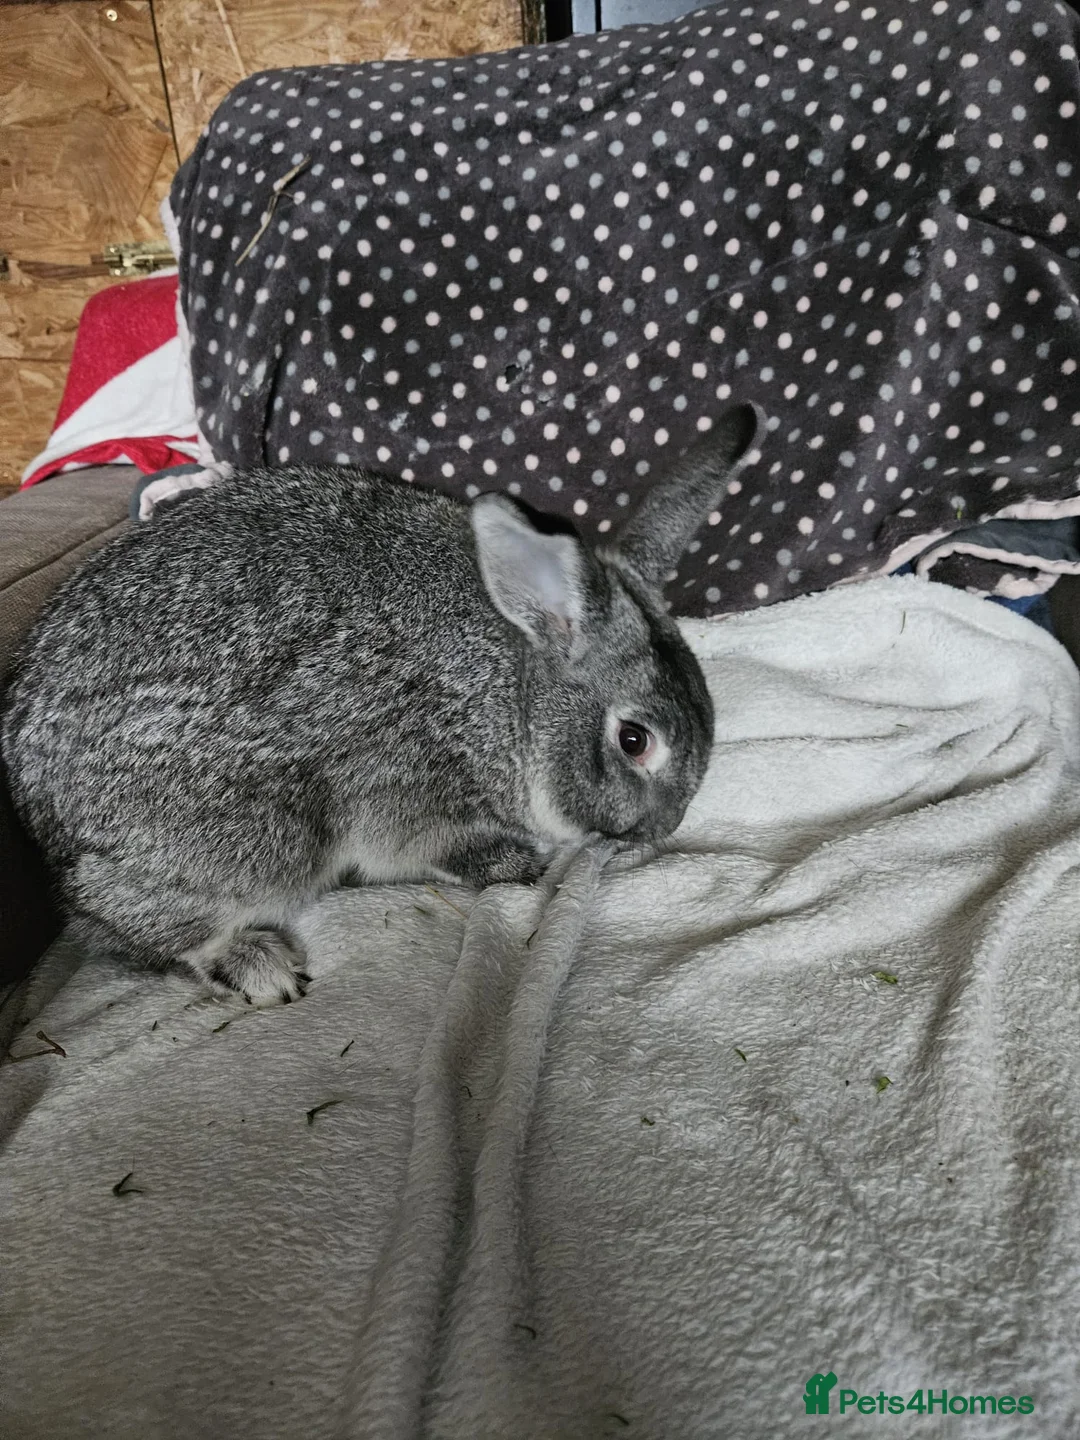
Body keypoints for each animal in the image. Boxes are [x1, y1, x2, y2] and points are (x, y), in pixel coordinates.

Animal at [1, 402, 758, 1005]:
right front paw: (519, 865)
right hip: (257, 835)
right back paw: (257, 965)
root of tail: (42, 814)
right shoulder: (408, 781)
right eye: (635, 741)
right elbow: (428, 847)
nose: (661, 828)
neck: (514, 688)